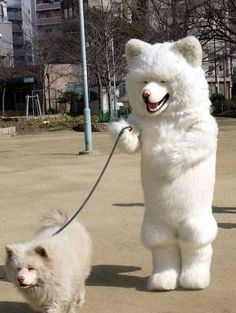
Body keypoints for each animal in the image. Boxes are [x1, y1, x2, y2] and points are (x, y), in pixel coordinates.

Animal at [110, 36, 218, 290]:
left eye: (162, 80)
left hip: (194, 220)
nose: (146, 93)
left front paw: (159, 159)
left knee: (195, 245)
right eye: (145, 81)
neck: (166, 118)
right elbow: (132, 142)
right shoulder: (139, 124)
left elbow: (189, 145)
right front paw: (120, 130)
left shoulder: (204, 129)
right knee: (164, 247)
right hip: (156, 223)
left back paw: (194, 279)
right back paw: (163, 280)